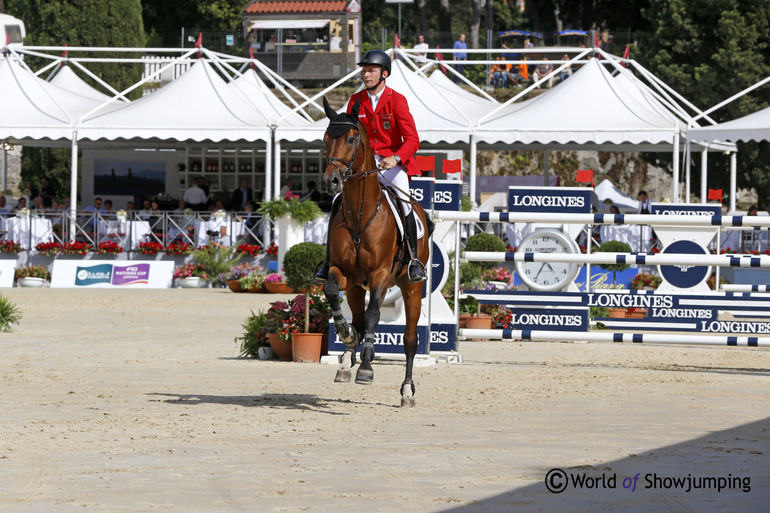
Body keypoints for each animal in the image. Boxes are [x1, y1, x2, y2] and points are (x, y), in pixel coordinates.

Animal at [320, 97, 432, 408]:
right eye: (325, 140)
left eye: (350, 139)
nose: (331, 182)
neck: (361, 213)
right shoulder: (344, 274)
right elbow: (332, 290)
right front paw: (347, 336)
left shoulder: (381, 275)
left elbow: (373, 316)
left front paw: (367, 367)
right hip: (357, 287)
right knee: (357, 317)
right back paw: (347, 358)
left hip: (410, 287)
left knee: (409, 339)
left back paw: (407, 391)